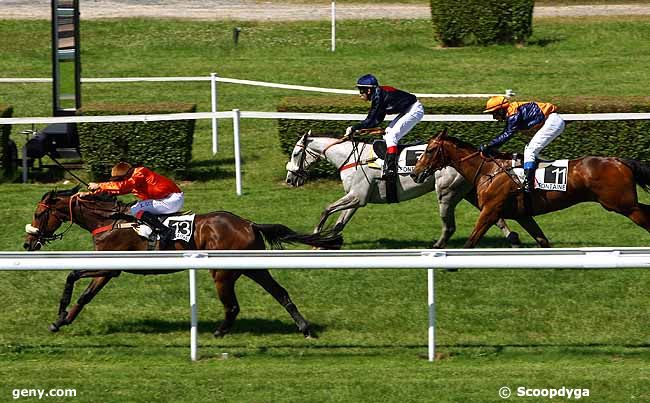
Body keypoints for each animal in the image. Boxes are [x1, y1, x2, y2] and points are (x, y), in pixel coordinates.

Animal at [22, 188, 342, 340]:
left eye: (38, 214)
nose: (27, 243)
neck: (110, 220)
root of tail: (248, 223)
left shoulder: (111, 266)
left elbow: (71, 276)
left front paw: (60, 313)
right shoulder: (109, 270)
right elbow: (86, 295)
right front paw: (61, 321)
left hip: (223, 272)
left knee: (233, 306)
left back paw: (219, 332)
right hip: (252, 267)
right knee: (281, 293)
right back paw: (305, 328)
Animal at [284, 131, 548, 248]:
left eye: (296, 153)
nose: (290, 178)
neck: (349, 158)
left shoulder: (357, 196)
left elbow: (326, 209)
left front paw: (315, 238)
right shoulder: (357, 199)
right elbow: (340, 222)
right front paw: (326, 241)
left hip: (447, 192)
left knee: (459, 221)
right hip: (469, 193)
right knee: (496, 216)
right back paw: (513, 239)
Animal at [410, 131, 648, 248]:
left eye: (429, 150)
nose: (415, 173)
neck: (488, 170)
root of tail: (619, 160)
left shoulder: (490, 210)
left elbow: (470, 242)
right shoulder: (523, 215)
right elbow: (542, 241)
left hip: (623, 205)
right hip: (625, 203)